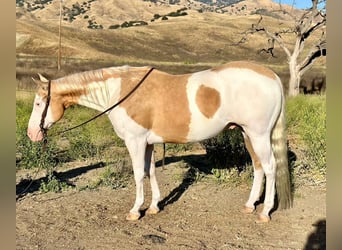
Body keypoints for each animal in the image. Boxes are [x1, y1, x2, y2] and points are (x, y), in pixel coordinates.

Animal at [28, 61, 292, 224]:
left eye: (39, 103)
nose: (32, 134)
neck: (120, 91)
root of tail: (271, 76)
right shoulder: (148, 142)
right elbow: (150, 171)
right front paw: (154, 205)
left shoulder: (135, 141)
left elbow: (137, 174)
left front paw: (135, 211)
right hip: (248, 135)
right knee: (258, 167)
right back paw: (250, 205)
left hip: (258, 135)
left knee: (270, 168)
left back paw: (265, 212)